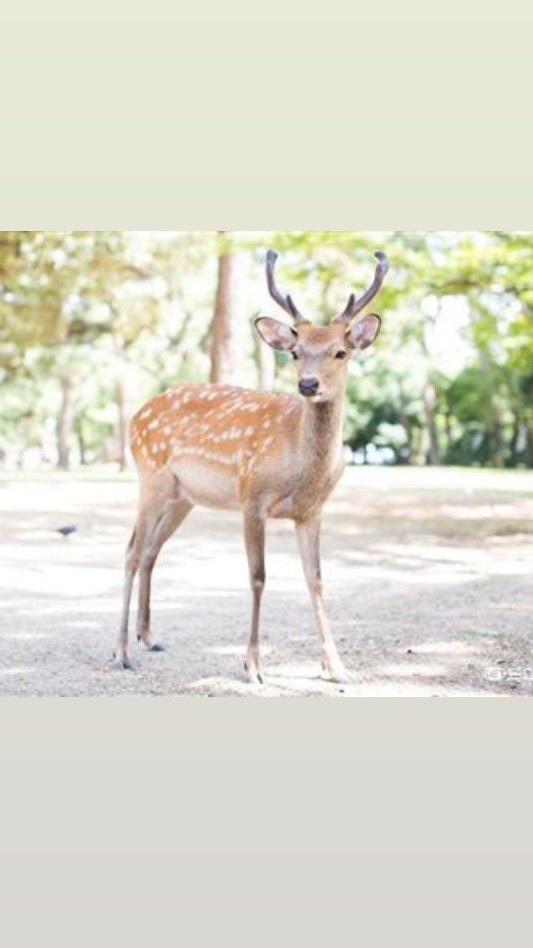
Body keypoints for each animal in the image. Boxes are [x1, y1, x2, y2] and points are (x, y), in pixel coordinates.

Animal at [114, 248, 388, 684]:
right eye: (295, 352)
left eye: (340, 352)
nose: (308, 385)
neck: (303, 469)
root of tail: (136, 415)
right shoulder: (252, 496)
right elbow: (258, 577)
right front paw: (254, 666)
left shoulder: (311, 511)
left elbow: (316, 580)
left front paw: (337, 667)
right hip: (150, 477)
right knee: (131, 552)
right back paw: (122, 652)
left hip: (182, 496)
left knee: (151, 551)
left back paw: (149, 637)